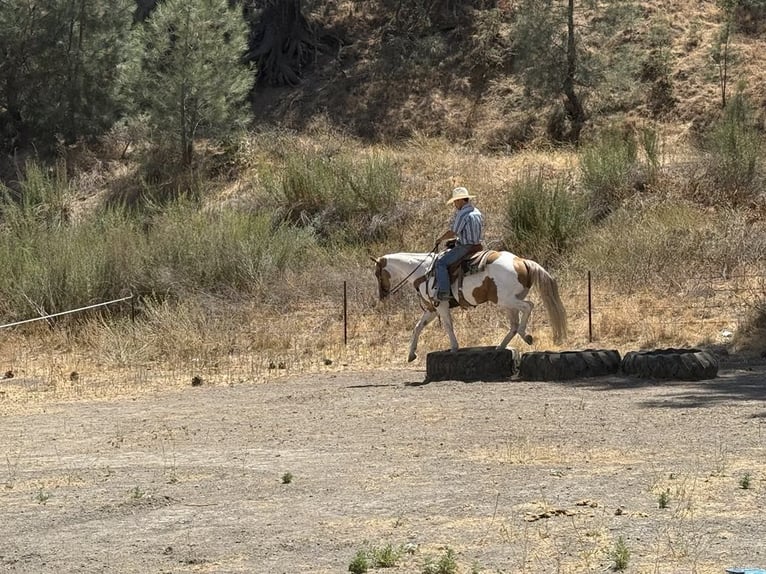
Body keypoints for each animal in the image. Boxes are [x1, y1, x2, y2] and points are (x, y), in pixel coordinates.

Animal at [371, 250, 567, 362]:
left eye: (377, 274)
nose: (382, 295)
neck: (424, 271)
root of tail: (521, 261)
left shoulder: (441, 305)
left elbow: (448, 326)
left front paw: (454, 347)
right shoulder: (432, 309)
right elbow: (418, 327)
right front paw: (411, 354)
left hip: (506, 300)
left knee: (527, 307)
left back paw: (526, 336)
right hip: (508, 303)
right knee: (513, 325)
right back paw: (500, 347)